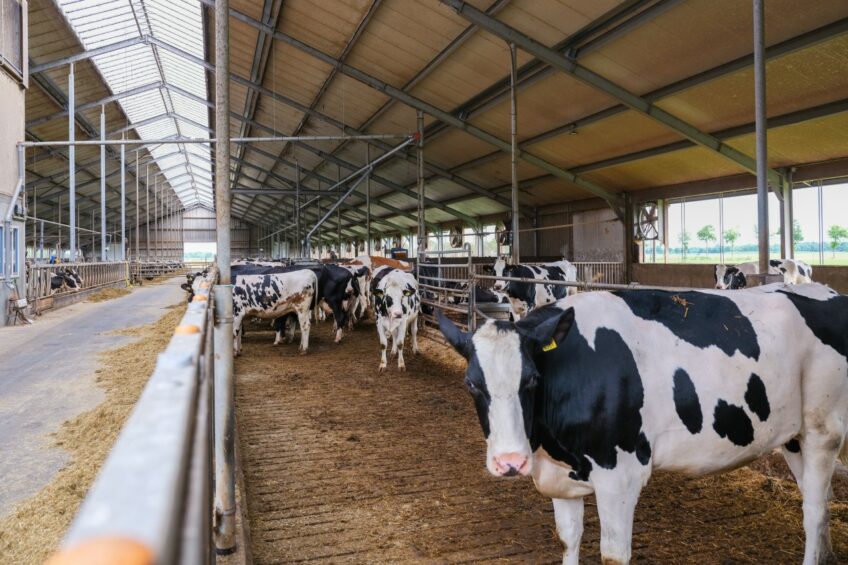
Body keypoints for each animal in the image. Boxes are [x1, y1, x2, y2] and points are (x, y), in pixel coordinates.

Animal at [440, 282, 844, 564]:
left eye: (532, 380)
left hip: (824, 427)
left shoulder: (620, 474)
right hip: (794, 437)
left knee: (815, 511)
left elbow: (613, 554)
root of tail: (829, 292)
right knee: (818, 501)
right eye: (471, 383)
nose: (509, 462)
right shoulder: (560, 478)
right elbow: (568, 539)